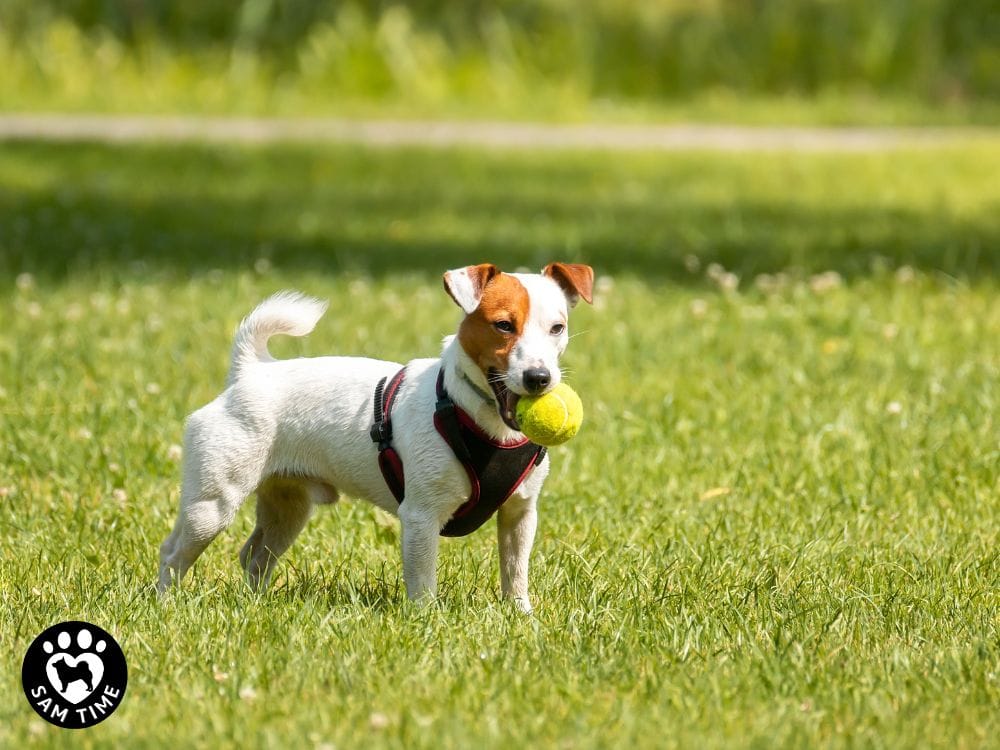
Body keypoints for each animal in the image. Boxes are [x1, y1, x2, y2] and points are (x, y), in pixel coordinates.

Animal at [156, 262, 592, 612]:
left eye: (558, 328)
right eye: (503, 325)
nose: (539, 378)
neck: (479, 419)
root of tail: (251, 372)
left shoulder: (520, 514)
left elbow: (515, 572)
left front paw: (521, 616)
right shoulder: (420, 517)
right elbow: (423, 583)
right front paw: (425, 622)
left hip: (288, 509)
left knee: (254, 556)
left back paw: (256, 605)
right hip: (211, 506)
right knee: (173, 552)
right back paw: (167, 605)